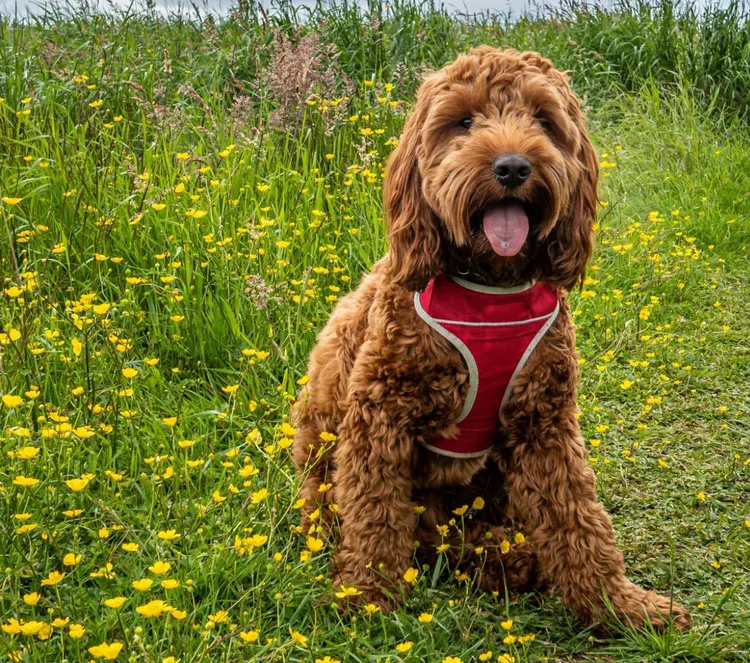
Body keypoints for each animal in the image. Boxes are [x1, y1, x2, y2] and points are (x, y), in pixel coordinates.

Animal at [290, 48, 692, 632]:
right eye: (463, 122)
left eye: (543, 120)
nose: (512, 167)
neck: (490, 287)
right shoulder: (378, 416)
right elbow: (373, 515)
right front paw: (365, 597)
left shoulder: (544, 421)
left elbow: (579, 519)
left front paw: (618, 605)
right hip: (327, 444)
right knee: (395, 530)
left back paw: (510, 556)